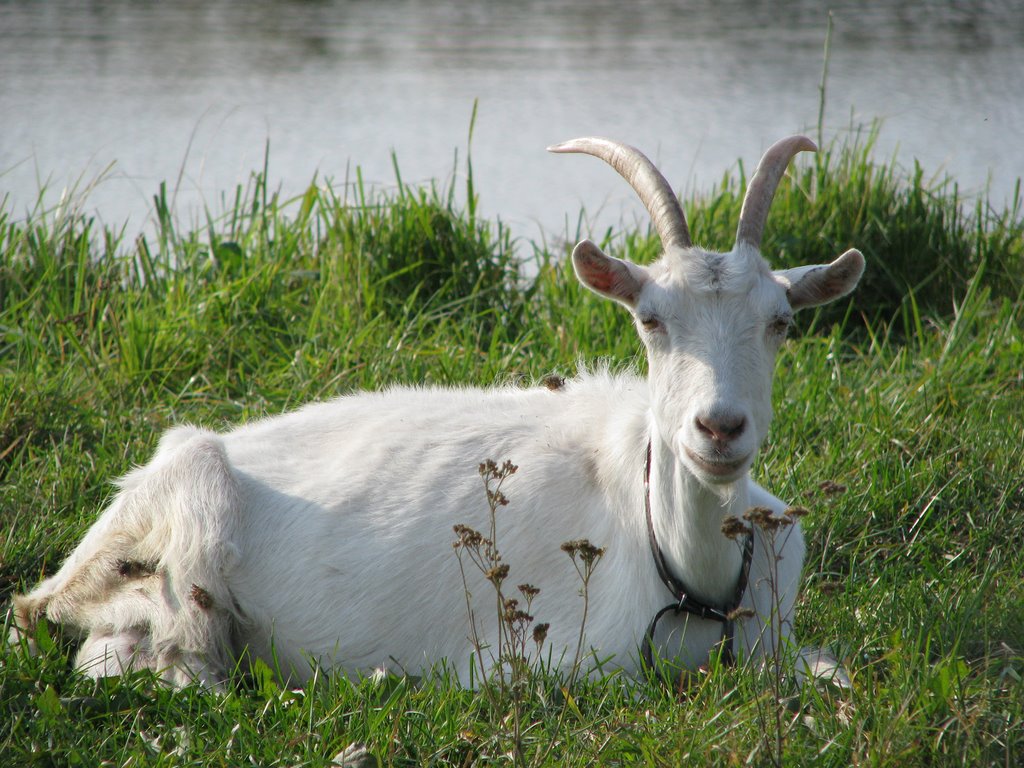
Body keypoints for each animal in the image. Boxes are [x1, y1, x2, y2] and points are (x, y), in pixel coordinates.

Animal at [8, 135, 864, 688]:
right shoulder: (535, 665)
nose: (719, 429)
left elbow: (836, 674)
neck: (692, 573)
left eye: (781, 322)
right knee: (166, 660)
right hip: (185, 520)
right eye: (650, 319)